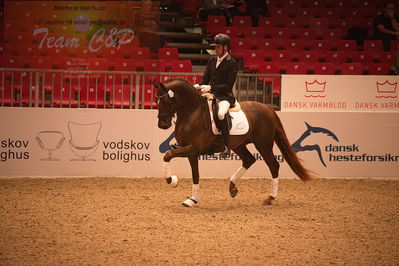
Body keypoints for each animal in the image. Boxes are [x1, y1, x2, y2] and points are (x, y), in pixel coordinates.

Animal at [155, 78, 314, 207]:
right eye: (157, 102)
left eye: (165, 101)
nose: (162, 125)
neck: (192, 113)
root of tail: (268, 108)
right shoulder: (191, 151)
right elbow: (195, 174)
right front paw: (192, 200)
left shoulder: (194, 148)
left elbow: (168, 154)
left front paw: (172, 180)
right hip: (239, 145)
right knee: (249, 160)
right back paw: (232, 187)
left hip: (263, 144)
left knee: (273, 165)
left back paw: (270, 198)